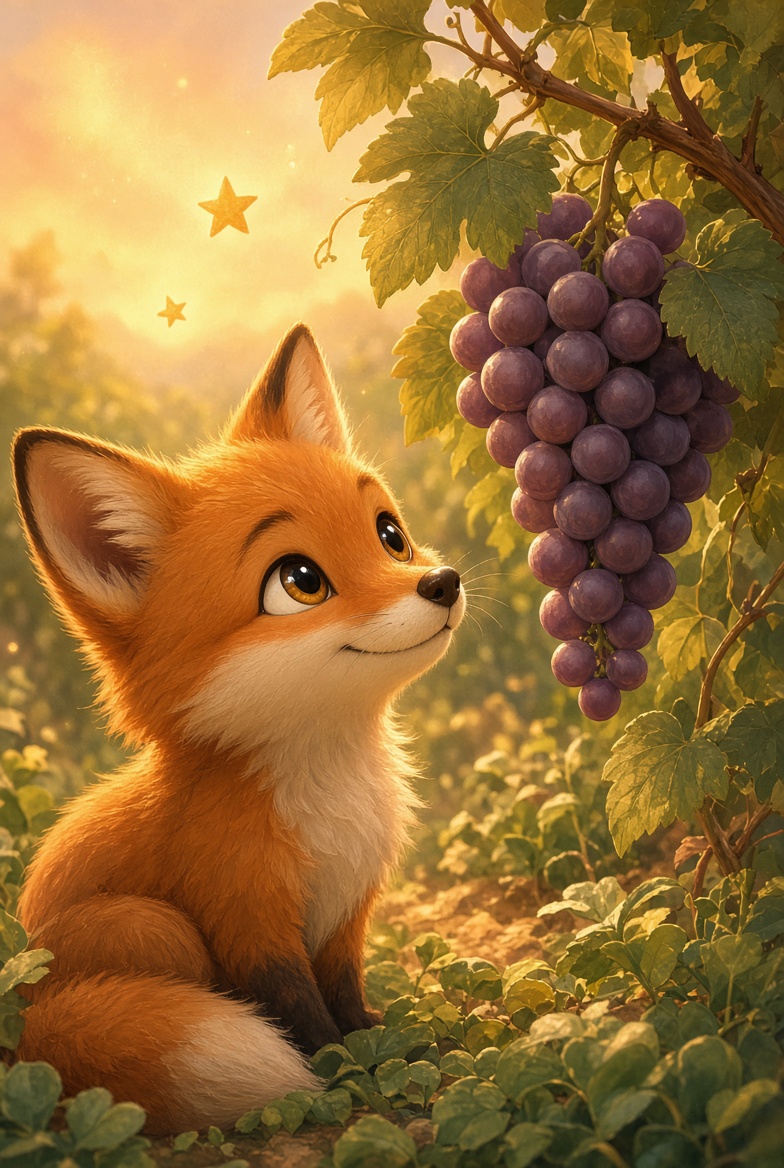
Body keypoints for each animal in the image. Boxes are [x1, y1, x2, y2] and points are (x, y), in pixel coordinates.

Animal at [10, 323, 465, 1135]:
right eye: (299, 582)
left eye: (389, 535)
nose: (441, 583)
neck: (329, 793)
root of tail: (21, 1025)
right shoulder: (246, 917)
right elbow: (302, 1018)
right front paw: (341, 1081)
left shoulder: (347, 915)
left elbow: (347, 997)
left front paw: (387, 1043)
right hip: (152, 927)